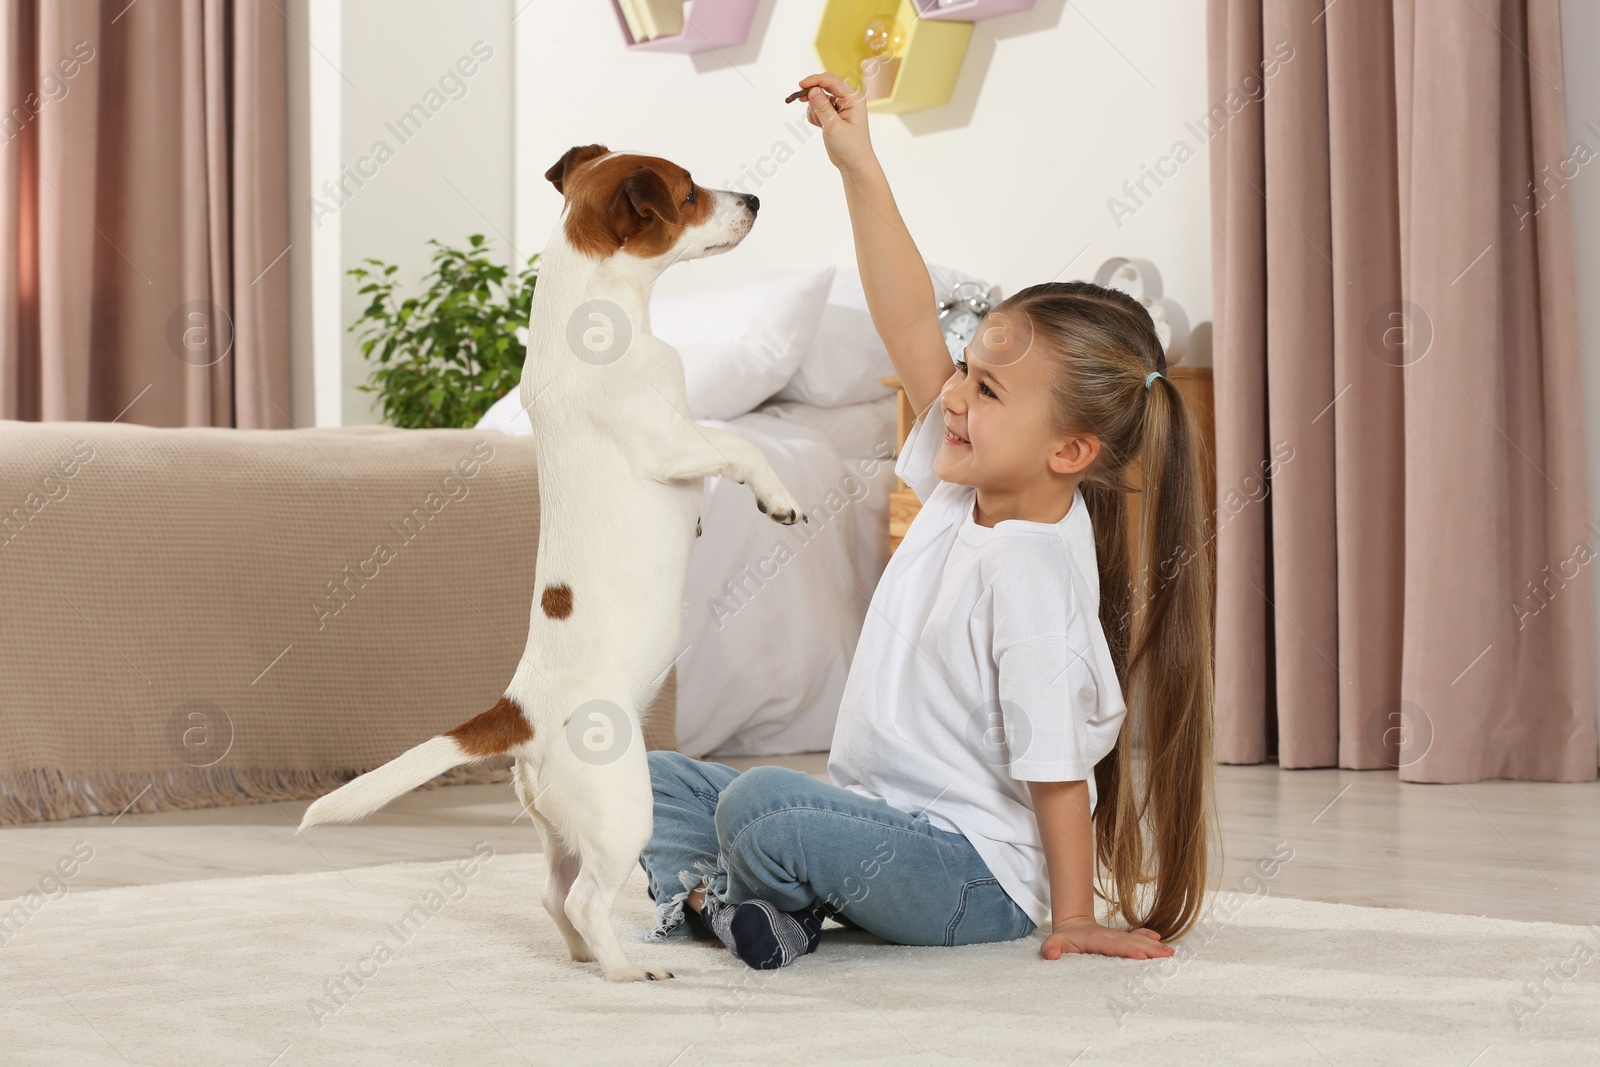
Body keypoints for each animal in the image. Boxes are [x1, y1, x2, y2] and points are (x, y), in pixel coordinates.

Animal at [297, 146, 812, 979]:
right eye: (688, 192)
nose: (757, 200)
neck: (599, 318)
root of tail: (522, 712)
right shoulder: (672, 441)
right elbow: (740, 443)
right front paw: (778, 498)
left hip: (562, 826)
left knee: (552, 892)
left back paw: (579, 957)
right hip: (622, 812)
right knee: (586, 899)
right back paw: (628, 969)